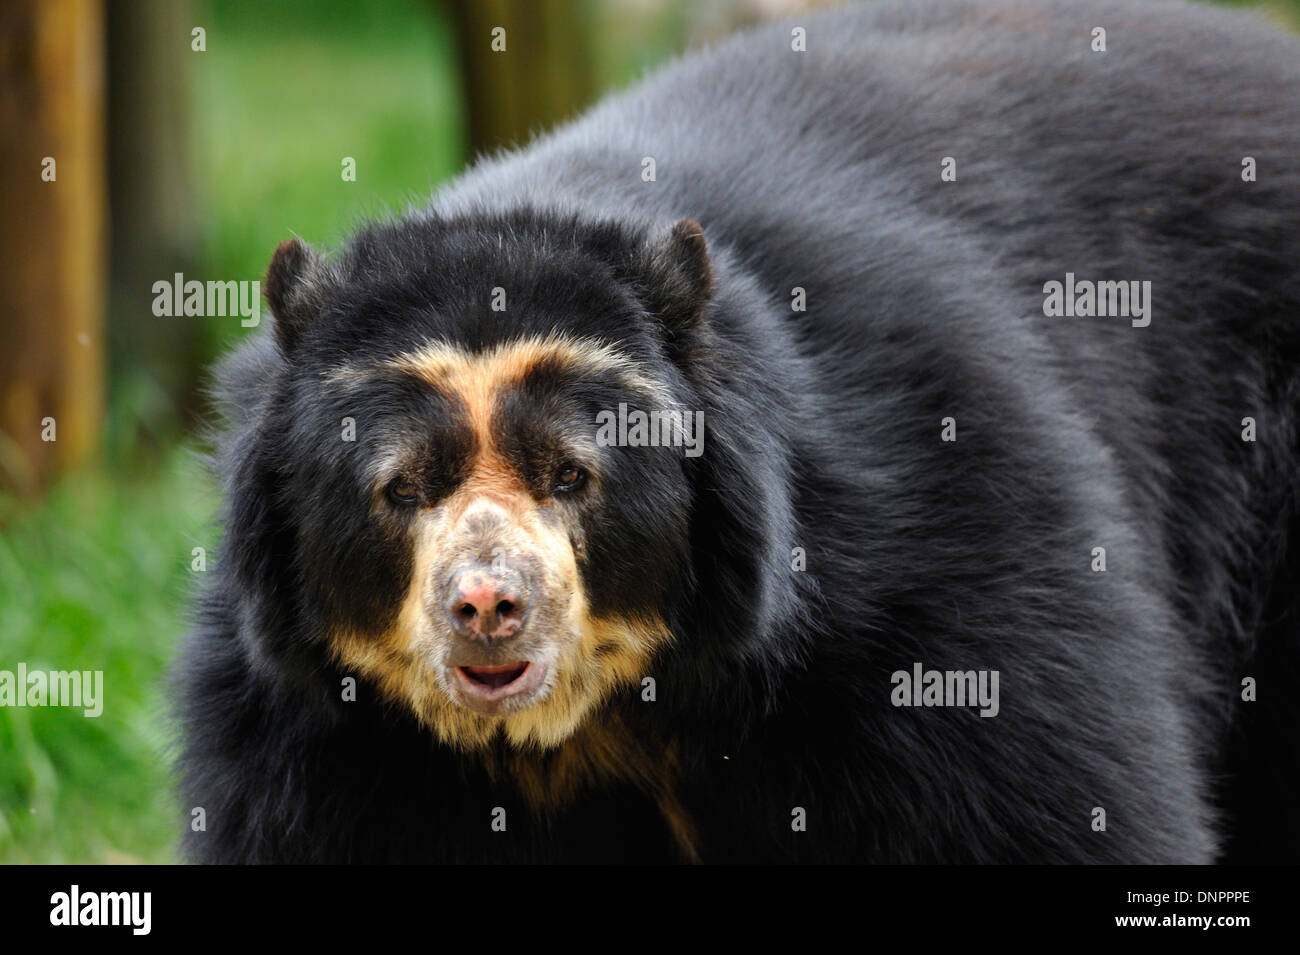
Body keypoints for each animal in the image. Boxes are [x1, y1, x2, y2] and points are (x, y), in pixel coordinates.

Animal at [175, 0, 1300, 863]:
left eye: (571, 475)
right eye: (402, 487)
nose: (488, 607)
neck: (606, 717)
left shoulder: (946, 563)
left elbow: (1046, 806)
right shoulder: (319, 737)